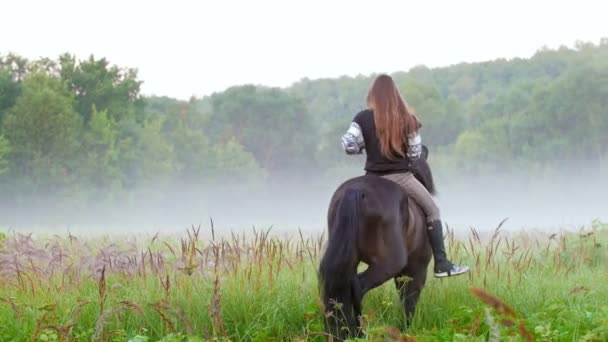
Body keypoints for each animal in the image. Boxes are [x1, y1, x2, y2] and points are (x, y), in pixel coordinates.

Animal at [318, 146, 436, 340]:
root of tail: (357, 191)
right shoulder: (416, 269)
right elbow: (409, 300)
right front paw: (405, 330)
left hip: (348, 261)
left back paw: (348, 334)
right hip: (389, 263)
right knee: (358, 287)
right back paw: (359, 332)